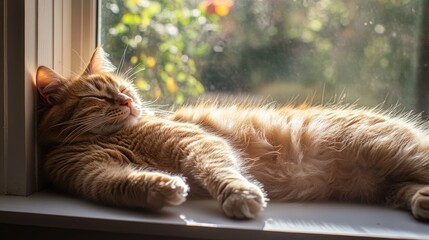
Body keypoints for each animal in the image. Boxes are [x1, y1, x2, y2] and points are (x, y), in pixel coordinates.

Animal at [36, 46, 428, 219]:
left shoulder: (198, 142)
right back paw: (422, 201)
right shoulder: (93, 175)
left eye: (125, 89)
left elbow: (219, 172)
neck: (111, 136)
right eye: (99, 96)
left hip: (406, 155)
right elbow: (126, 184)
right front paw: (163, 188)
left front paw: (239, 196)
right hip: (389, 182)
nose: (128, 102)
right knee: (405, 191)